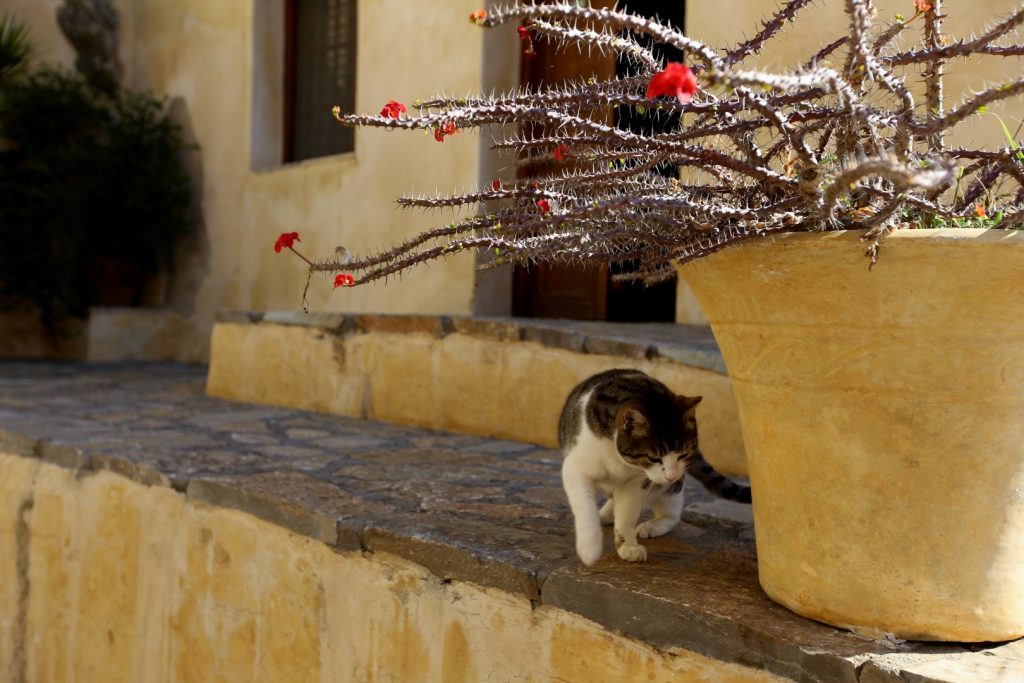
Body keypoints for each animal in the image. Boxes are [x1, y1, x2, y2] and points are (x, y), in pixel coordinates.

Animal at [561, 368, 753, 565]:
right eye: (654, 458)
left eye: (683, 455)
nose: (671, 476)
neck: (618, 458)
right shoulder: (575, 469)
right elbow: (585, 507)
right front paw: (589, 549)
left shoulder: (636, 481)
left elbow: (626, 515)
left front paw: (628, 546)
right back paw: (605, 514)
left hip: (668, 489)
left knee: (672, 513)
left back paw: (651, 526)